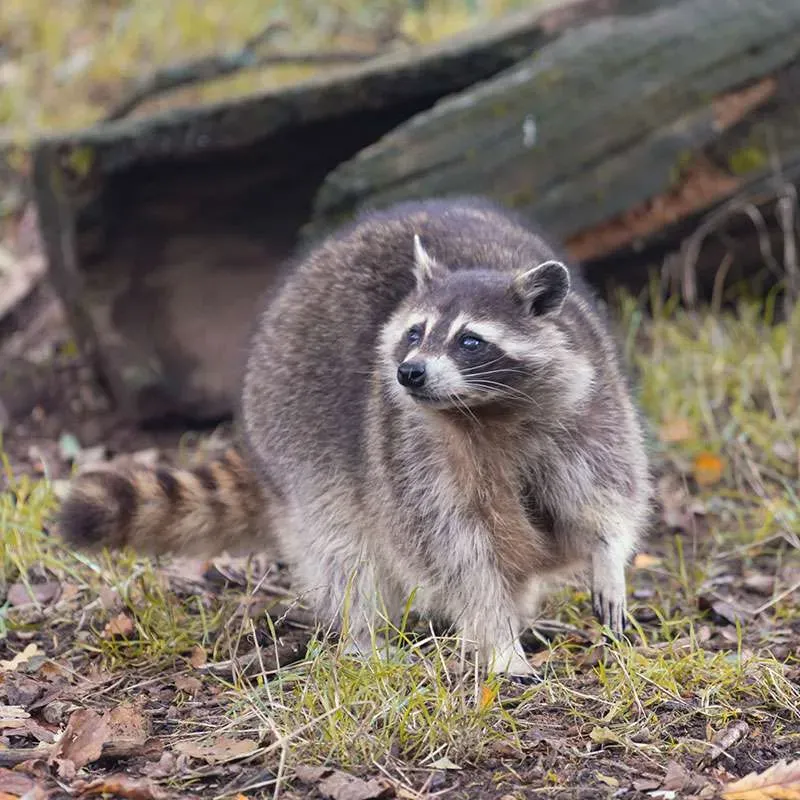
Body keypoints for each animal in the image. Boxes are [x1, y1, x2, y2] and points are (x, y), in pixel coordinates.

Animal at [57, 197, 651, 677]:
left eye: (470, 341)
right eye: (415, 333)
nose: (409, 373)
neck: (483, 411)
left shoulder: (588, 408)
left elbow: (607, 498)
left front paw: (607, 559)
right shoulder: (411, 454)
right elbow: (458, 553)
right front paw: (496, 638)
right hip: (294, 437)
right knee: (344, 548)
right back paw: (367, 637)